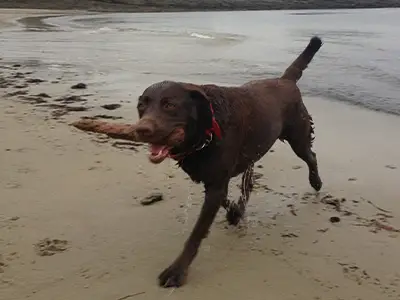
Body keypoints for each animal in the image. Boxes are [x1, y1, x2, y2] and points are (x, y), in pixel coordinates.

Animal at [133, 36, 324, 288]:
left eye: (169, 105)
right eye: (141, 106)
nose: (141, 130)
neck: (207, 130)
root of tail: (285, 80)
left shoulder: (216, 182)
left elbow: (196, 233)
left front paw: (177, 271)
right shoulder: (213, 178)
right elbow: (226, 198)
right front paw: (235, 212)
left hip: (298, 136)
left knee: (310, 157)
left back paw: (316, 182)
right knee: (249, 182)